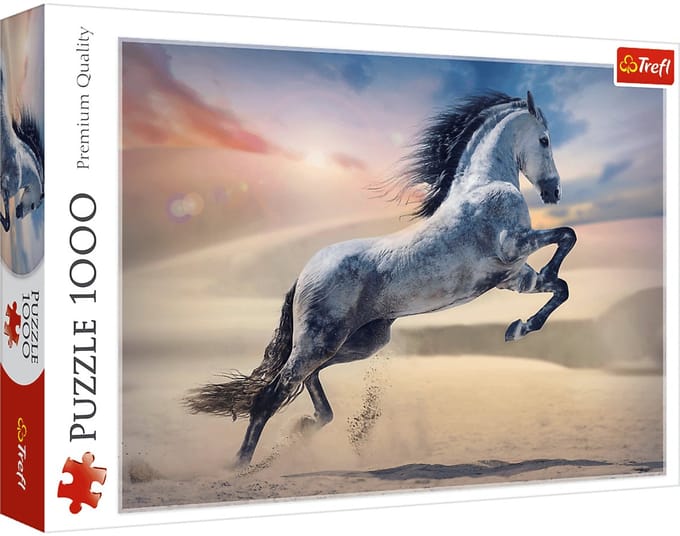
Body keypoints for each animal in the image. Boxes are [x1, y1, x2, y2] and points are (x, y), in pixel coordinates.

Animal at [184, 90, 577, 467]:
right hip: (320, 341)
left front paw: (519, 328)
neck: (484, 186)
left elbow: (560, 287)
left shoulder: (513, 275)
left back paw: (306, 425)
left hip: (359, 342)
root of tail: (304, 274)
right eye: (544, 140)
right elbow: (567, 236)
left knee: (309, 379)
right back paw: (241, 465)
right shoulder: (513, 246)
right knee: (272, 395)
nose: (554, 192)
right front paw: (527, 314)